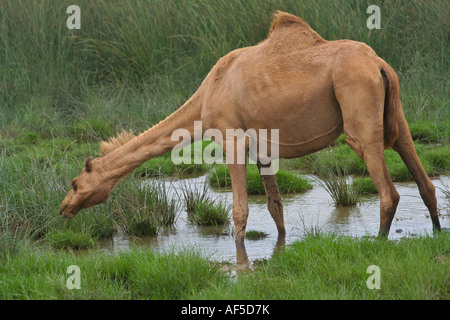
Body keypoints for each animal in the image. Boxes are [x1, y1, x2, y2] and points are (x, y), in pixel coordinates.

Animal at [58, 11, 442, 244]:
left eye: (76, 182)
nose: (63, 208)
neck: (204, 99)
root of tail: (379, 64)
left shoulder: (231, 138)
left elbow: (240, 210)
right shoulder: (263, 147)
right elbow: (275, 206)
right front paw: (281, 246)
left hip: (358, 111)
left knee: (388, 190)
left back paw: (379, 242)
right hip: (396, 114)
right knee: (420, 173)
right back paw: (437, 232)